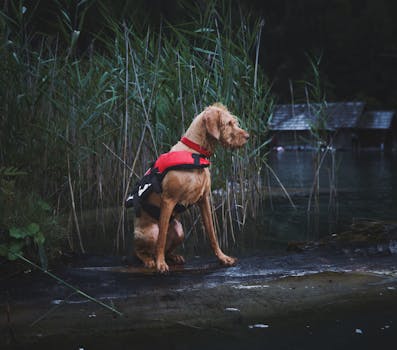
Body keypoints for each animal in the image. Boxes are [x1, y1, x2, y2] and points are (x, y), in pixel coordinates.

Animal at [133, 102, 249, 272]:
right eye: (228, 123)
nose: (248, 136)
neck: (195, 153)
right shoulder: (168, 200)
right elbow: (161, 238)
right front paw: (161, 264)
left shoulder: (204, 199)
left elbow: (212, 233)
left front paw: (223, 258)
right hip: (150, 232)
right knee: (141, 250)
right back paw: (150, 260)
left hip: (179, 230)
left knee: (166, 249)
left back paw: (173, 256)